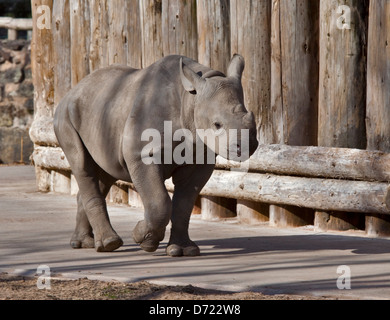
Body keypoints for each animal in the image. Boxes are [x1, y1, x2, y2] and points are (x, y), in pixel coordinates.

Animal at [52, 53, 258, 256]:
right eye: (217, 124)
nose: (248, 145)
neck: (191, 100)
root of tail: (73, 90)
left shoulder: (200, 159)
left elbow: (184, 205)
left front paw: (184, 250)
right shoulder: (141, 155)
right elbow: (159, 202)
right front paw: (143, 239)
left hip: (102, 115)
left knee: (105, 173)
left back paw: (85, 243)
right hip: (65, 116)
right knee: (81, 165)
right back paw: (109, 244)